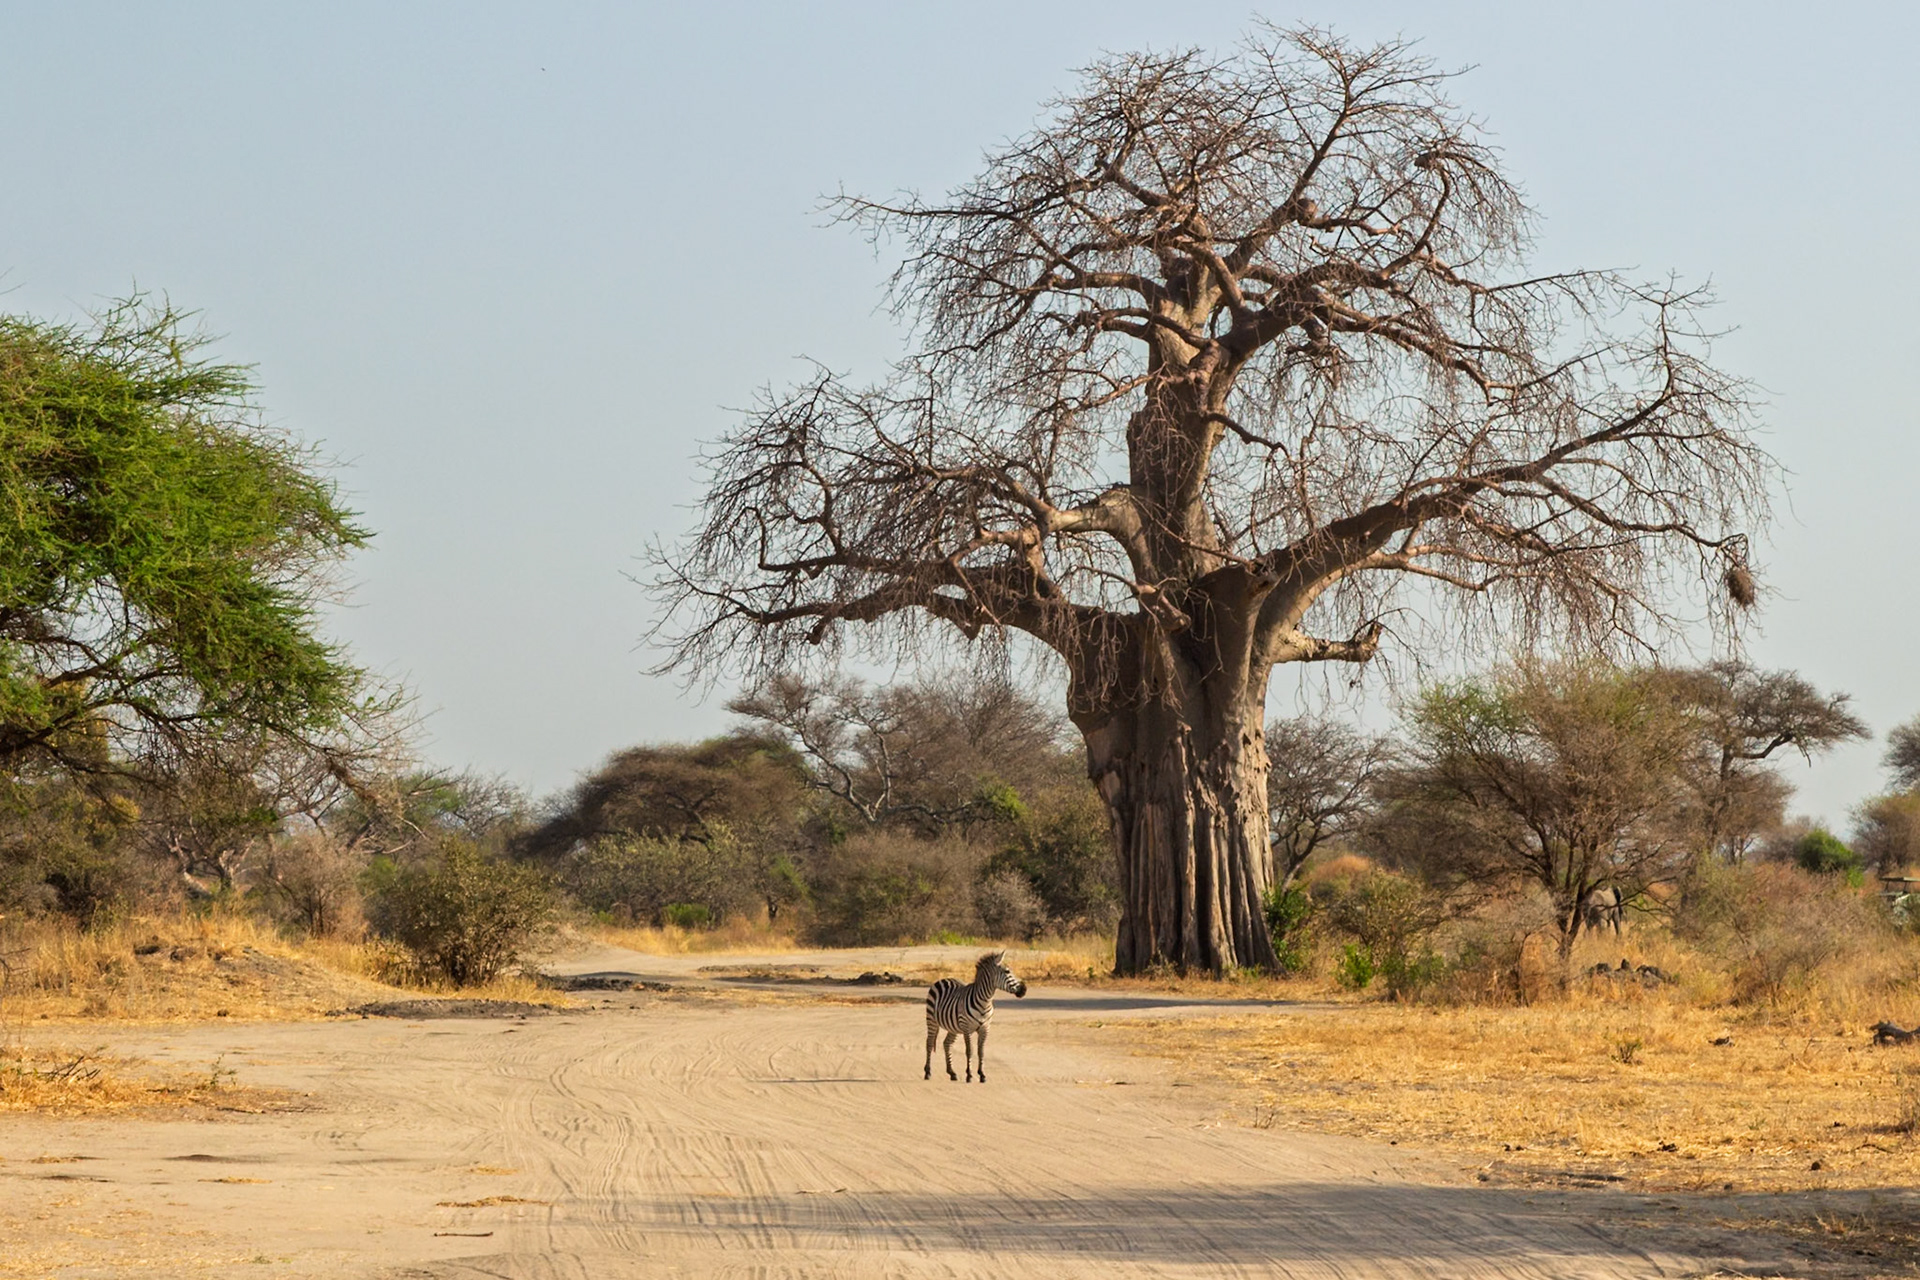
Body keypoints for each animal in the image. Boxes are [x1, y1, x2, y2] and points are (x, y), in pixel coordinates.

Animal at [924, 951, 1027, 1083]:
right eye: (1007, 971)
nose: (1024, 989)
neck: (985, 1002)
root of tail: (944, 979)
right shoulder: (967, 1028)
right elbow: (970, 1051)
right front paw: (969, 1075)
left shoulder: (985, 1028)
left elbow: (981, 1051)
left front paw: (982, 1074)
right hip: (931, 1020)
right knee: (929, 1043)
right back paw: (927, 1072)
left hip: (953, 1027)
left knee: (947, 1044)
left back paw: (952, 1073)